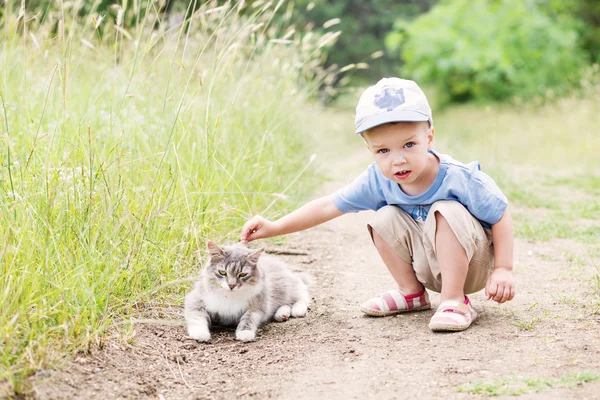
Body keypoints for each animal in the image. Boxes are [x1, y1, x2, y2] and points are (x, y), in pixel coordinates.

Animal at [184, 239, 312, 342]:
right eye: (222, 272)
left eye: (242, 274)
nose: (231, 285)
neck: (229, 296)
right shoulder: (195, 301)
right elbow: (197, 318)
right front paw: (201, 334)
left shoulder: (257, 307)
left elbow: (248, 319)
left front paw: (245, 333)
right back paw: (282, 314)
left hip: (289, 287)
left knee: (302, 297)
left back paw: (296, 310)